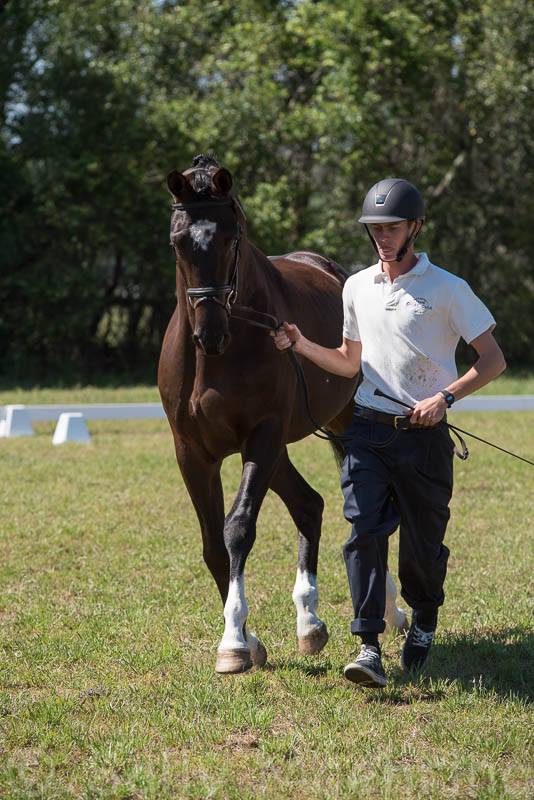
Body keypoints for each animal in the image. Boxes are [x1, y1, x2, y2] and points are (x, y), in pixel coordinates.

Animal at [158, 153, 406, 672]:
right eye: (177, 242)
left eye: (232, 237)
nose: (210, 333)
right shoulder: (193, 453)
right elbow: (213, 545)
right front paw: (246, 641)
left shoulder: (263, 435)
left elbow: (237, 528)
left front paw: (234, 643)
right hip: (277, 451)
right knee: (309, 505)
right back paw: (309, 623)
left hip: (337, 428)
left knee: (363, 513)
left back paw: (385, 611)